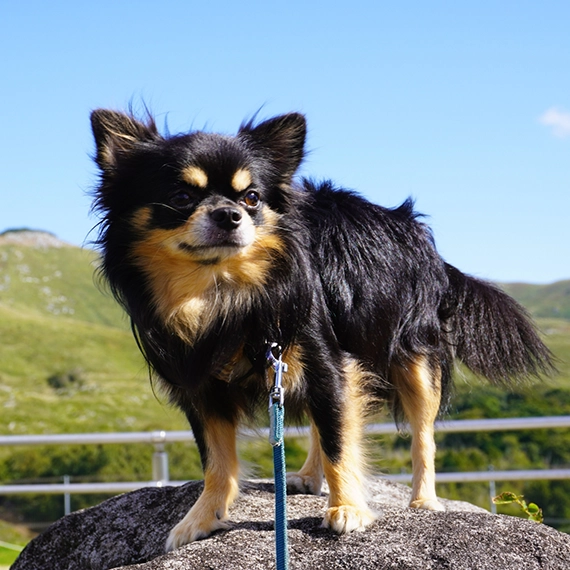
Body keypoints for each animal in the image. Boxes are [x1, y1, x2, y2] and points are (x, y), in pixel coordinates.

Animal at [89, 108, 552, 548]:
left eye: (252, 197)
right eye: (181, 197)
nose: (230, 214)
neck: (222, 293)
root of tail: (418, 235)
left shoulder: (322, 356)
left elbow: (339, 442)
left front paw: (347, 508)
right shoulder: (205, 387)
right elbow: (218, 462)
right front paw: (202, 518)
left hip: (414, 360)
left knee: (420, 433)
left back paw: (423, 500)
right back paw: (311, 476)